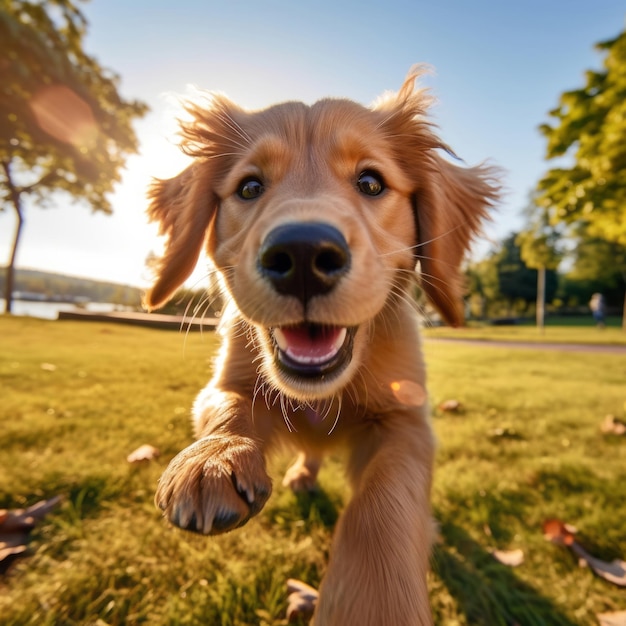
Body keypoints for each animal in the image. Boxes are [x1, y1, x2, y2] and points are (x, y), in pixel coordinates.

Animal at [143, 68, 498, 624]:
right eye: (249, 187)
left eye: (371, 182)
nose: (303, 254)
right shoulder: (228, 380)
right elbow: (228, 406)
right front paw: (213, 460)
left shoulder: (405, 418)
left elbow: (385, 499)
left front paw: (374, 603)